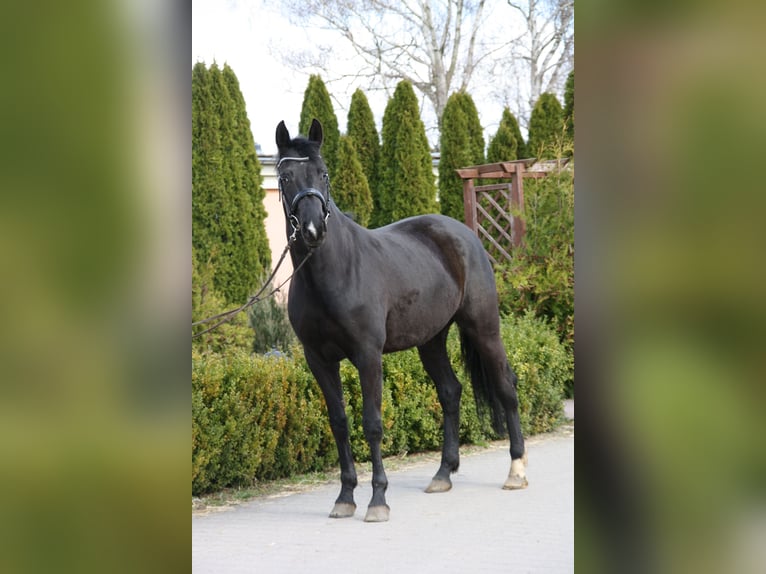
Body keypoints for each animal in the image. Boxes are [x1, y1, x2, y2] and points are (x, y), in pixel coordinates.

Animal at [276, 119, 528, 524]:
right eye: (285, 177)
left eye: (324, 173)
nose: (314, 230)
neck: (331, 272)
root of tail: (464, 234)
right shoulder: (319, 359)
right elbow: (340, 423)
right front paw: (345, 497)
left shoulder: (367, 355)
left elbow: (373, 423)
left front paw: (378, 500)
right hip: (431, 340)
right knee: (450, 392)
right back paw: (443, 474)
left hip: (484, 328)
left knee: (506, 385)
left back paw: (516, 471)